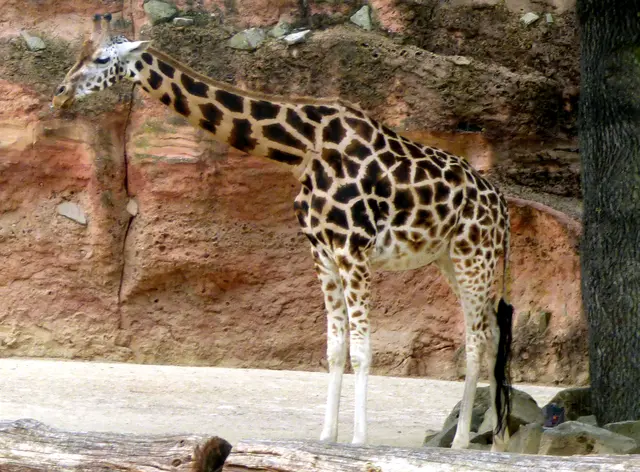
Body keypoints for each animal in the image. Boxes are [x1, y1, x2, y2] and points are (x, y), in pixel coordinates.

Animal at [52, 14, 514, 450]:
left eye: (103, 60)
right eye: (80, 54)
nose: (58, 93)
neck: (302, 150)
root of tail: (502, 206)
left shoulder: (354, 248)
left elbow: (362, 349)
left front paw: (359, 439)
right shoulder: (322, 252)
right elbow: (334, 349)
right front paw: (327, 436)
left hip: (473, 256)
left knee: (477, 340)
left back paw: (465, 442)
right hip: (448, 259)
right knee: (491, 333)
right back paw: (494, 440)